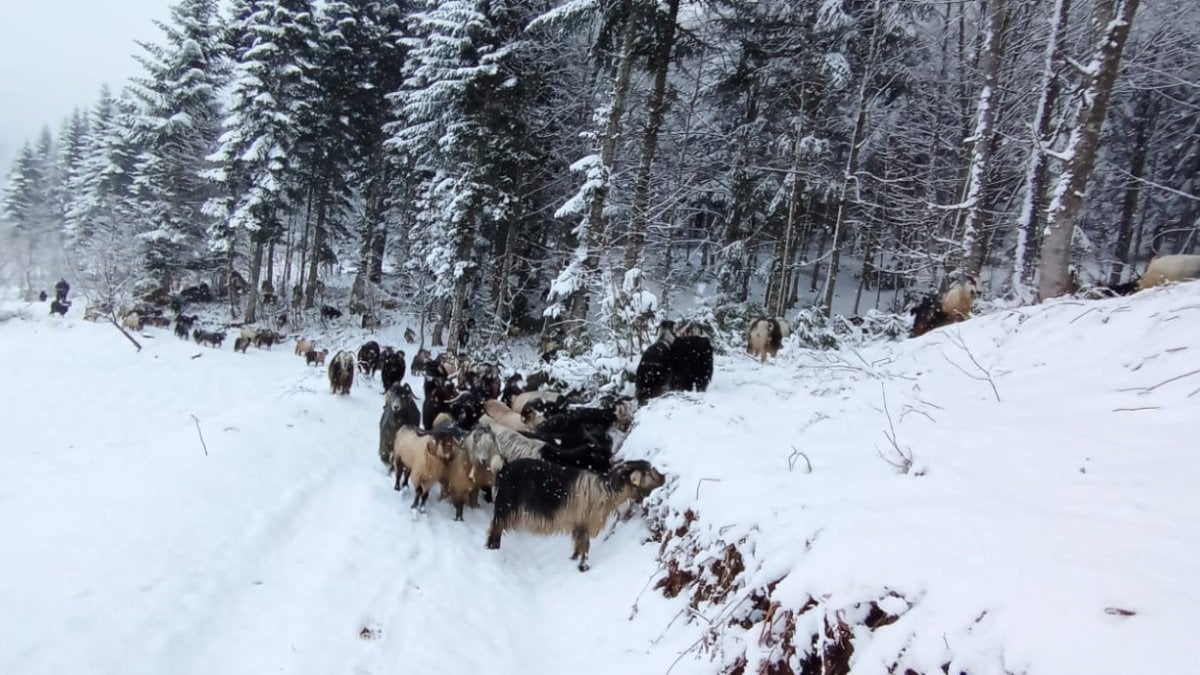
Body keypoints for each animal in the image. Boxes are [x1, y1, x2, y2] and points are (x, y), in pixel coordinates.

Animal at [484, 456, 672, 566]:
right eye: (651, 472)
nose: (665, 477)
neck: (607, 492)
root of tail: (503, 467)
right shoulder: (586, 522)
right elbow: (585, 545)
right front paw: (583, 566)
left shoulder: (578, 524)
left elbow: (578, 543)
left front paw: (573, 558)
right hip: (506, 506)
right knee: (495, 527)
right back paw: (493, 548)